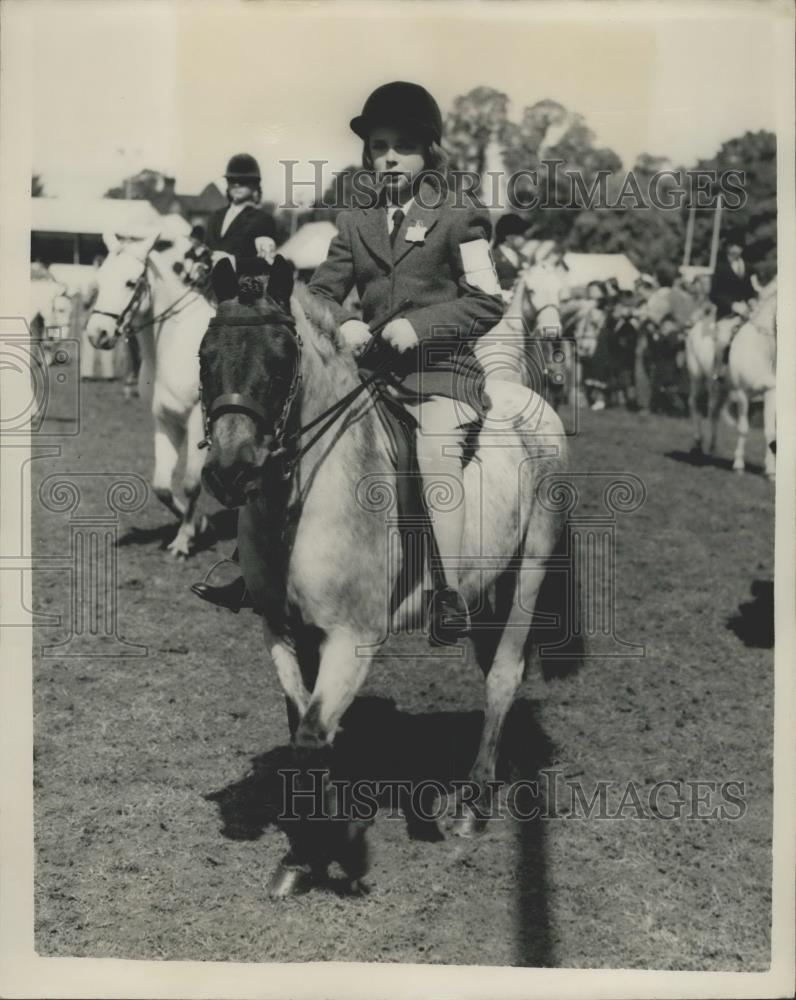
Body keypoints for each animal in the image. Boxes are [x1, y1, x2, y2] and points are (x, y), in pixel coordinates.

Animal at [85, 220, 215, 560]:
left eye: (131, 283)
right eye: (99, 281)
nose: (97, 334)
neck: (175, 343)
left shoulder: (198, 423)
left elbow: (192, 483)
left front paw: (183, 540)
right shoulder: (165, 419)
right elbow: (162, 487)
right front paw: (199, 525)